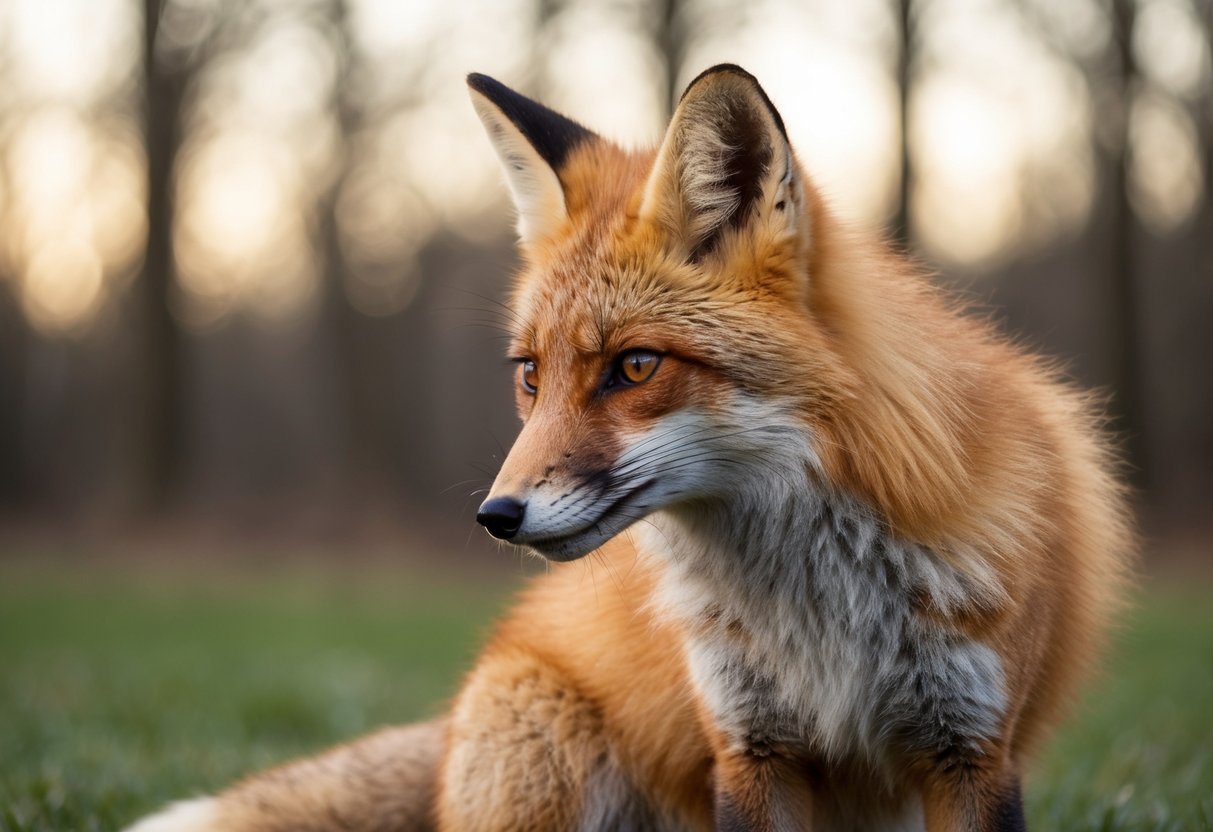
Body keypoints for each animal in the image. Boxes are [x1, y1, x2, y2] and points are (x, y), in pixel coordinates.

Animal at [126, 65, 1132, 832]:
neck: (822, 607)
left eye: (634, 366)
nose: (495, 515)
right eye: (530, 375)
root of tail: (454, 714)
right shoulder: (751, 748)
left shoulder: (968, 749)